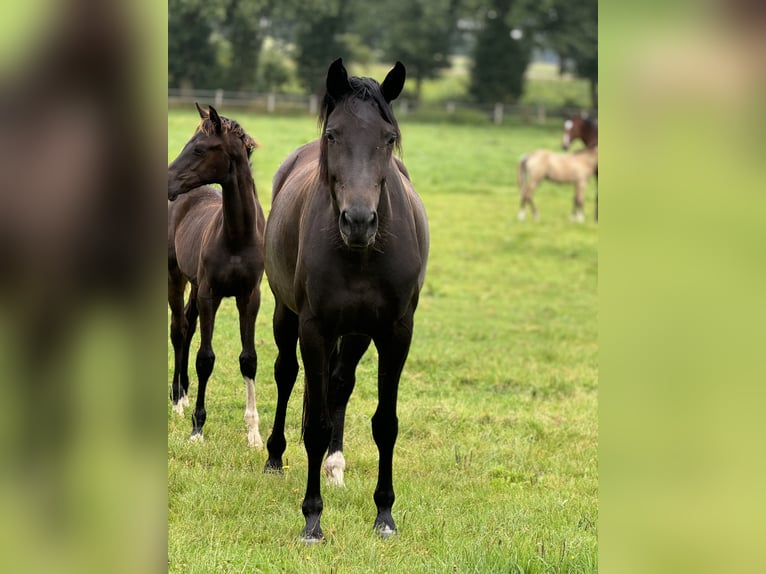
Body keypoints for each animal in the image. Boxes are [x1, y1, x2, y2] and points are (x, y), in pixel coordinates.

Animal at [166, 107, 266, 450]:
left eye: (199, 149)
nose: (167, 182)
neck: (236, 237)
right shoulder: (211, 293)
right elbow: (205, 358)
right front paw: (197, 428)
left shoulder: (249, 297)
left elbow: (249, 358)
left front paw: (254, 434)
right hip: (176, 276)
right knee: (179, 329)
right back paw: (177, 401)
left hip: (195, 285)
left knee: (187, 323)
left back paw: (182, 395)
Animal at [262, 59, 432, 544]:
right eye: (334, 134)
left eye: (388, 138)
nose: (358, 221)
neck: (361, 254)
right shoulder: (315, 328)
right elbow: (315, 425)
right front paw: (312, 519)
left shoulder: (396, 332)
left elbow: (385, 424)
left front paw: (385, 515)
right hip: (286, 315)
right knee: (286, 375)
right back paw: (275, 457)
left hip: (356, 333)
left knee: (340, 384)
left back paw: (335, 467)